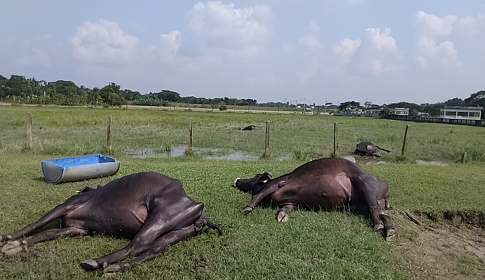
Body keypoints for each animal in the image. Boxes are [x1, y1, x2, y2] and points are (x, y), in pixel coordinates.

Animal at [0, 172, 222, 274]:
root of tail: (200, 210)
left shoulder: (68, 204)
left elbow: (36, 224)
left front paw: (7, 239)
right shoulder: (75, 229)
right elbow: (45, 234)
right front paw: (18, 245)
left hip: (160, 217)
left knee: (137, 245)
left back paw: (97, 262)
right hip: (175, 232)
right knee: (155, 250)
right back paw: (117, 268)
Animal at [233, 158, 396, 238]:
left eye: (256, 176)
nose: (237, 180)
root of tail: (384, 184)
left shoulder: (277, 183)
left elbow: (258, 194)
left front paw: (247, 209)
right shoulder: (291, 203)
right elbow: (285, 209)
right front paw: (281, 217)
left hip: (365, 184)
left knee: (375, 209)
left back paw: (379, 226)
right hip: (365, 205)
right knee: (384, 214)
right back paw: (390, 231)